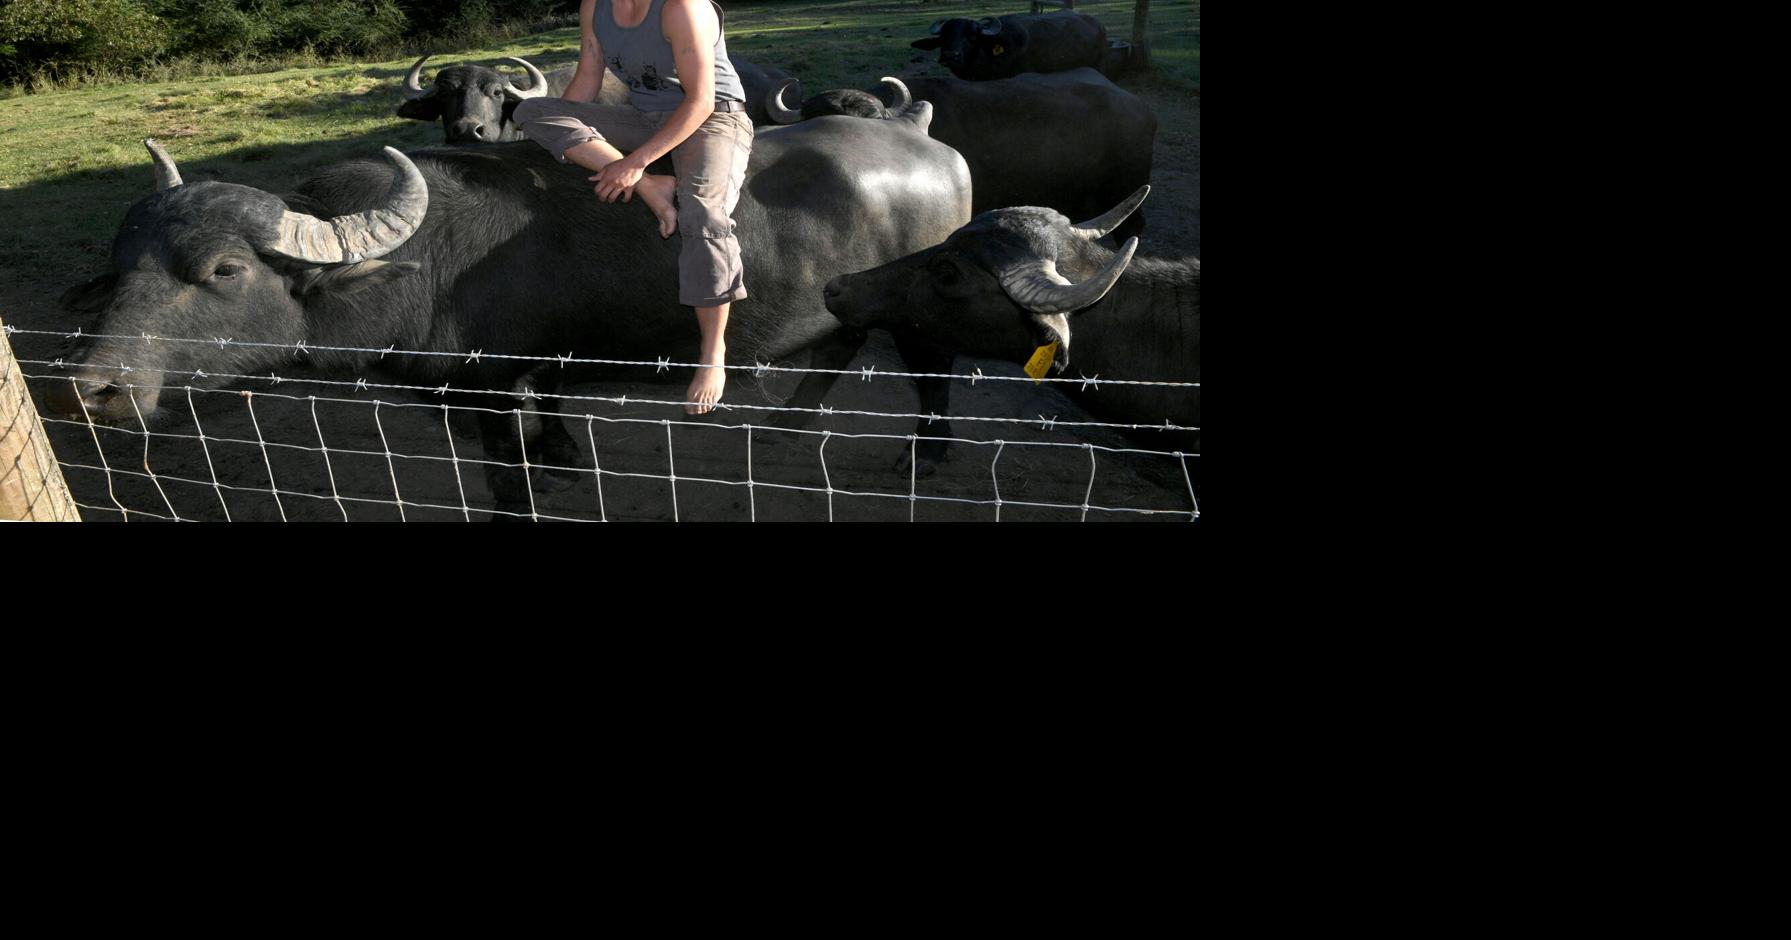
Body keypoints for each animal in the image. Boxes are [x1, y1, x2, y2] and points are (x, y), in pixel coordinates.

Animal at [52, 120, 970, 516]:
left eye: (224, 270)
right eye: (123, 263)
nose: (93, 390)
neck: (428, 265)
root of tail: (936, 148)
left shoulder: (486, 388)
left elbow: (502, 472)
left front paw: (529, 485)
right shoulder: (513, 373)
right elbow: (549, 410)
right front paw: (560, 457)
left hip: (924, 315)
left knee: (931, 375)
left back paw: (925, 458)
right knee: (840, 342)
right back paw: (790, 422)